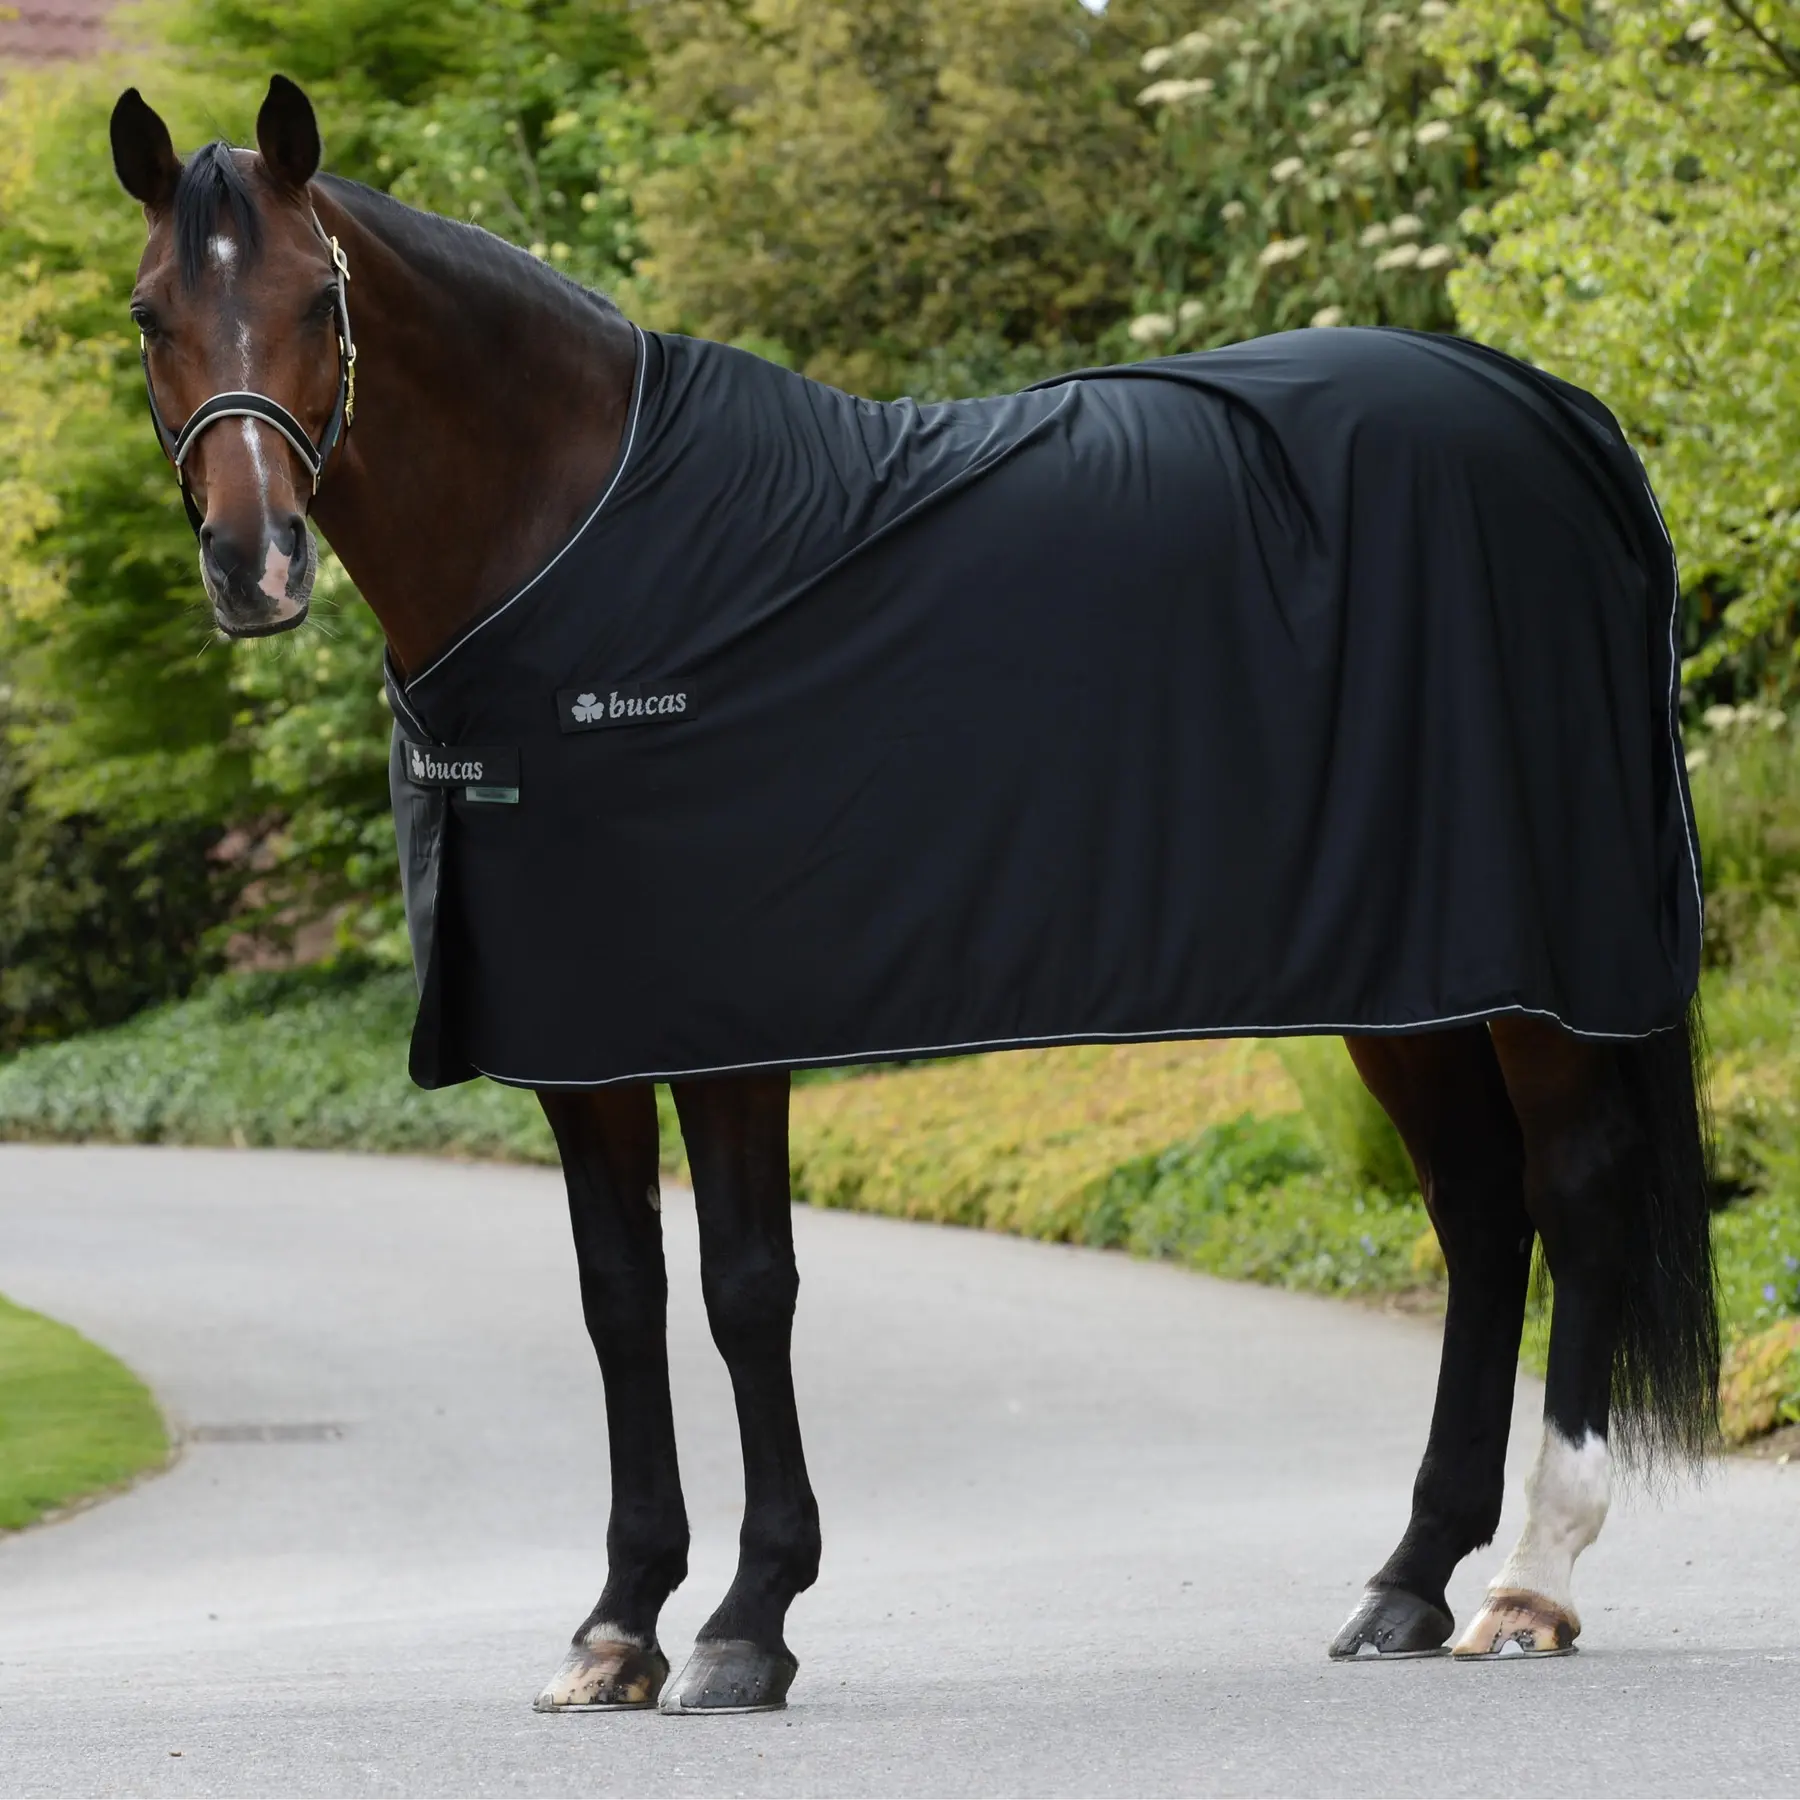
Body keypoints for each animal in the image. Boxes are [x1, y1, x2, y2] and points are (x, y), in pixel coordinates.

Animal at [108, 76, 1719, 1714]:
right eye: (148, 312)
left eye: (321, 303)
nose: (254, 564)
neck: (580, 563)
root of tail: (1567, 422)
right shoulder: (584, 1036)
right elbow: (619, 1298)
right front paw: (617, 1626)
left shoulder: (726, 1025)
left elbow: (745, 1289)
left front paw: (748, 1620)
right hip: (1410, 976)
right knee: (1480, 1214)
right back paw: (1407, 1580)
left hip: (1541, 969)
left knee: (1573, 1192)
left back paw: (1529, 1581)